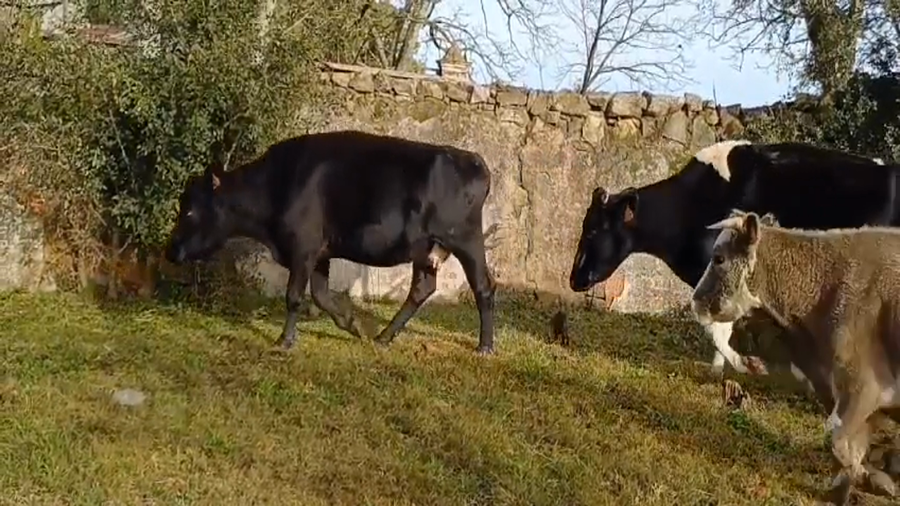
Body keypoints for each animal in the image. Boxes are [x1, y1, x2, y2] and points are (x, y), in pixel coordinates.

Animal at [164, 130, 497, 354]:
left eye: (189, 210)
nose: (170, 250)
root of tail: (473, 159)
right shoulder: (320, 254)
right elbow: (321, 295)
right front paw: (353, 325)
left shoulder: (303, 247)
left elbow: (294, 296)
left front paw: (284, 341)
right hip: (426, 249)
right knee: (421, 289)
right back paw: (383, 337)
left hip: (465, 240)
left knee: (483, 286)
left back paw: (485, 346)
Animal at [690, 209, 900, 505]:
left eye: (718, 258)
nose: (695, 300)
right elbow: (850, 448)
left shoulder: (862, 386)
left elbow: (836, 440)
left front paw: (872, 481)